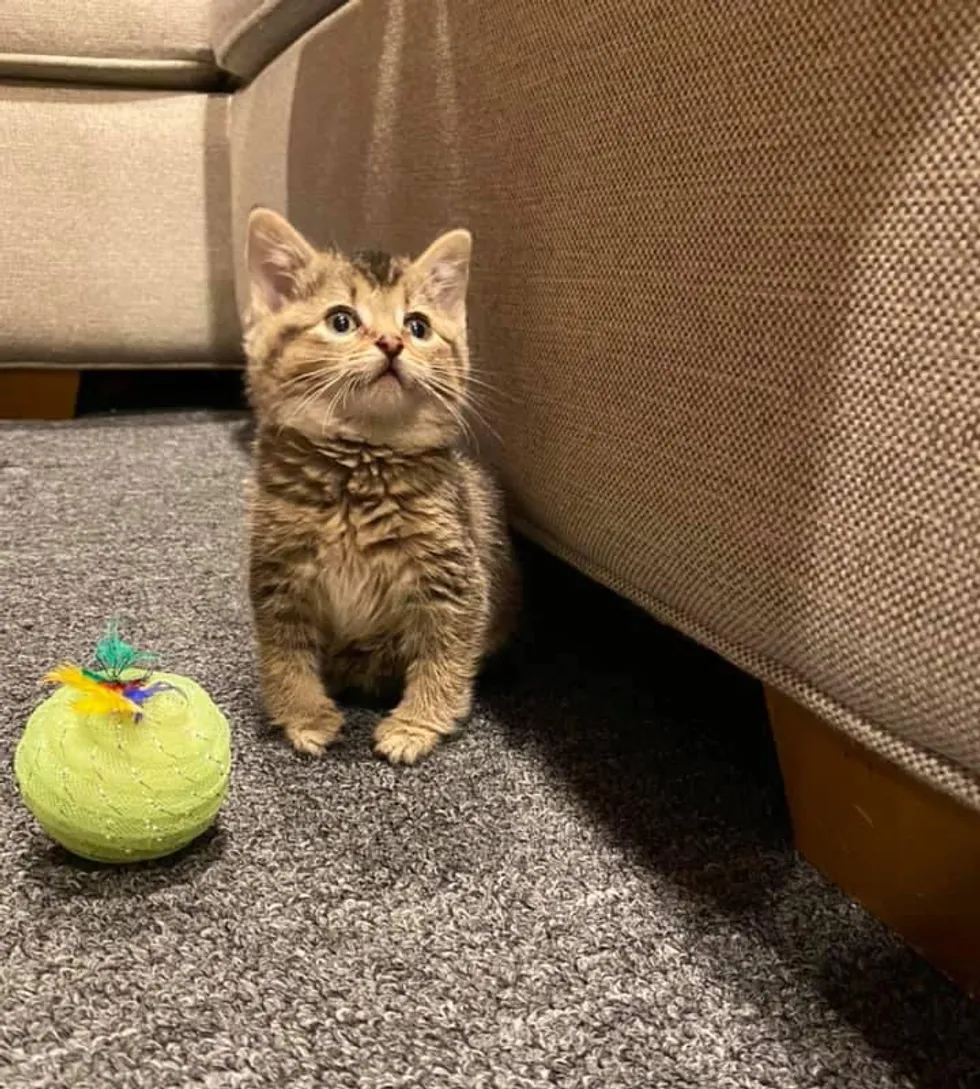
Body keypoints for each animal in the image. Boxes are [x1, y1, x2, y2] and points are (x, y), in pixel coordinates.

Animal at [241, 205, 516, 766]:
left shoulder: (453, 580)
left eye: (418, 326)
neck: (360, 469)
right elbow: (285, 658)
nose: (392, 343)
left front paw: (416, 724)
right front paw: (305, 716)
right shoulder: (278, 575)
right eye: (341, 320)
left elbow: (444, 657)